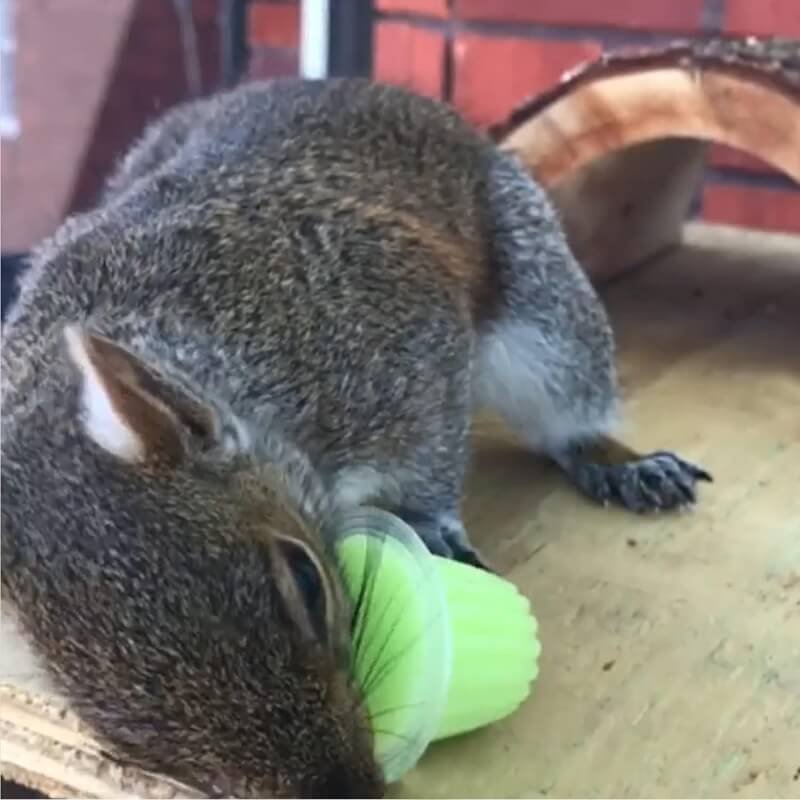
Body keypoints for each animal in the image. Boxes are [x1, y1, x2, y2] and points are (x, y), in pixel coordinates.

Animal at [3, 79, 708, 792]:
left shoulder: (401, 348)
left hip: (543, 306)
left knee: (569, 402)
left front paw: (427, 525)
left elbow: (430, 457)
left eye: (308, 581)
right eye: (137, 746)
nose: (347, 789)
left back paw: (622, 462)